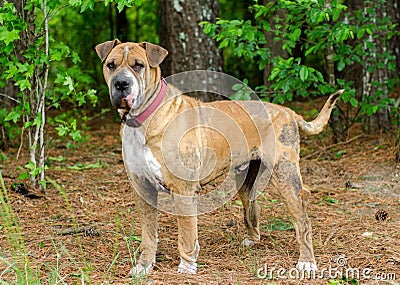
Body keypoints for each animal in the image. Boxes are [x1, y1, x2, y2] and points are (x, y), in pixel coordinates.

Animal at [95, 38, 342, 274]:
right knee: (252, 208)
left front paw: (186, 267)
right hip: (246, 180)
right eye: (111, 65)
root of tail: (288, 112)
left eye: (139, 65)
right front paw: (144, 266)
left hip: (286, 177)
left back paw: (307, 261)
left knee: (303, 222)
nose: (121, 83)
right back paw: (252, 240)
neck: (144, 118)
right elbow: (148, 235)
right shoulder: (143, 188)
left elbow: (186, 233)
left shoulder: (184, 190)